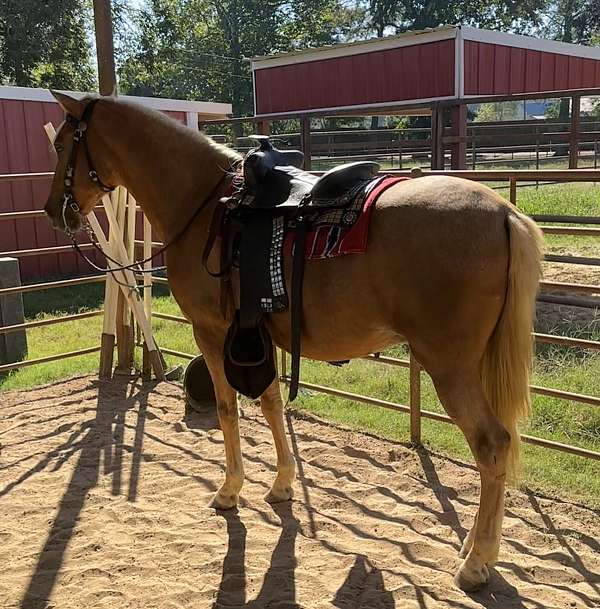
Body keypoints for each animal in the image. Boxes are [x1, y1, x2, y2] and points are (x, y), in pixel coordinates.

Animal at [44, 90, 548, 588]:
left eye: (61, 143)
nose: (53, 210)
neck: (203, 203)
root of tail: (504, 212)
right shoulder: (254, 335)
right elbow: (270, 404)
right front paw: (282, 484)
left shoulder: (212, 333)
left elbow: (228, 409)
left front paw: (230, 489)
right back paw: (476, 547)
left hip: (449, 366)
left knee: (491, 445)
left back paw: (476, 562)